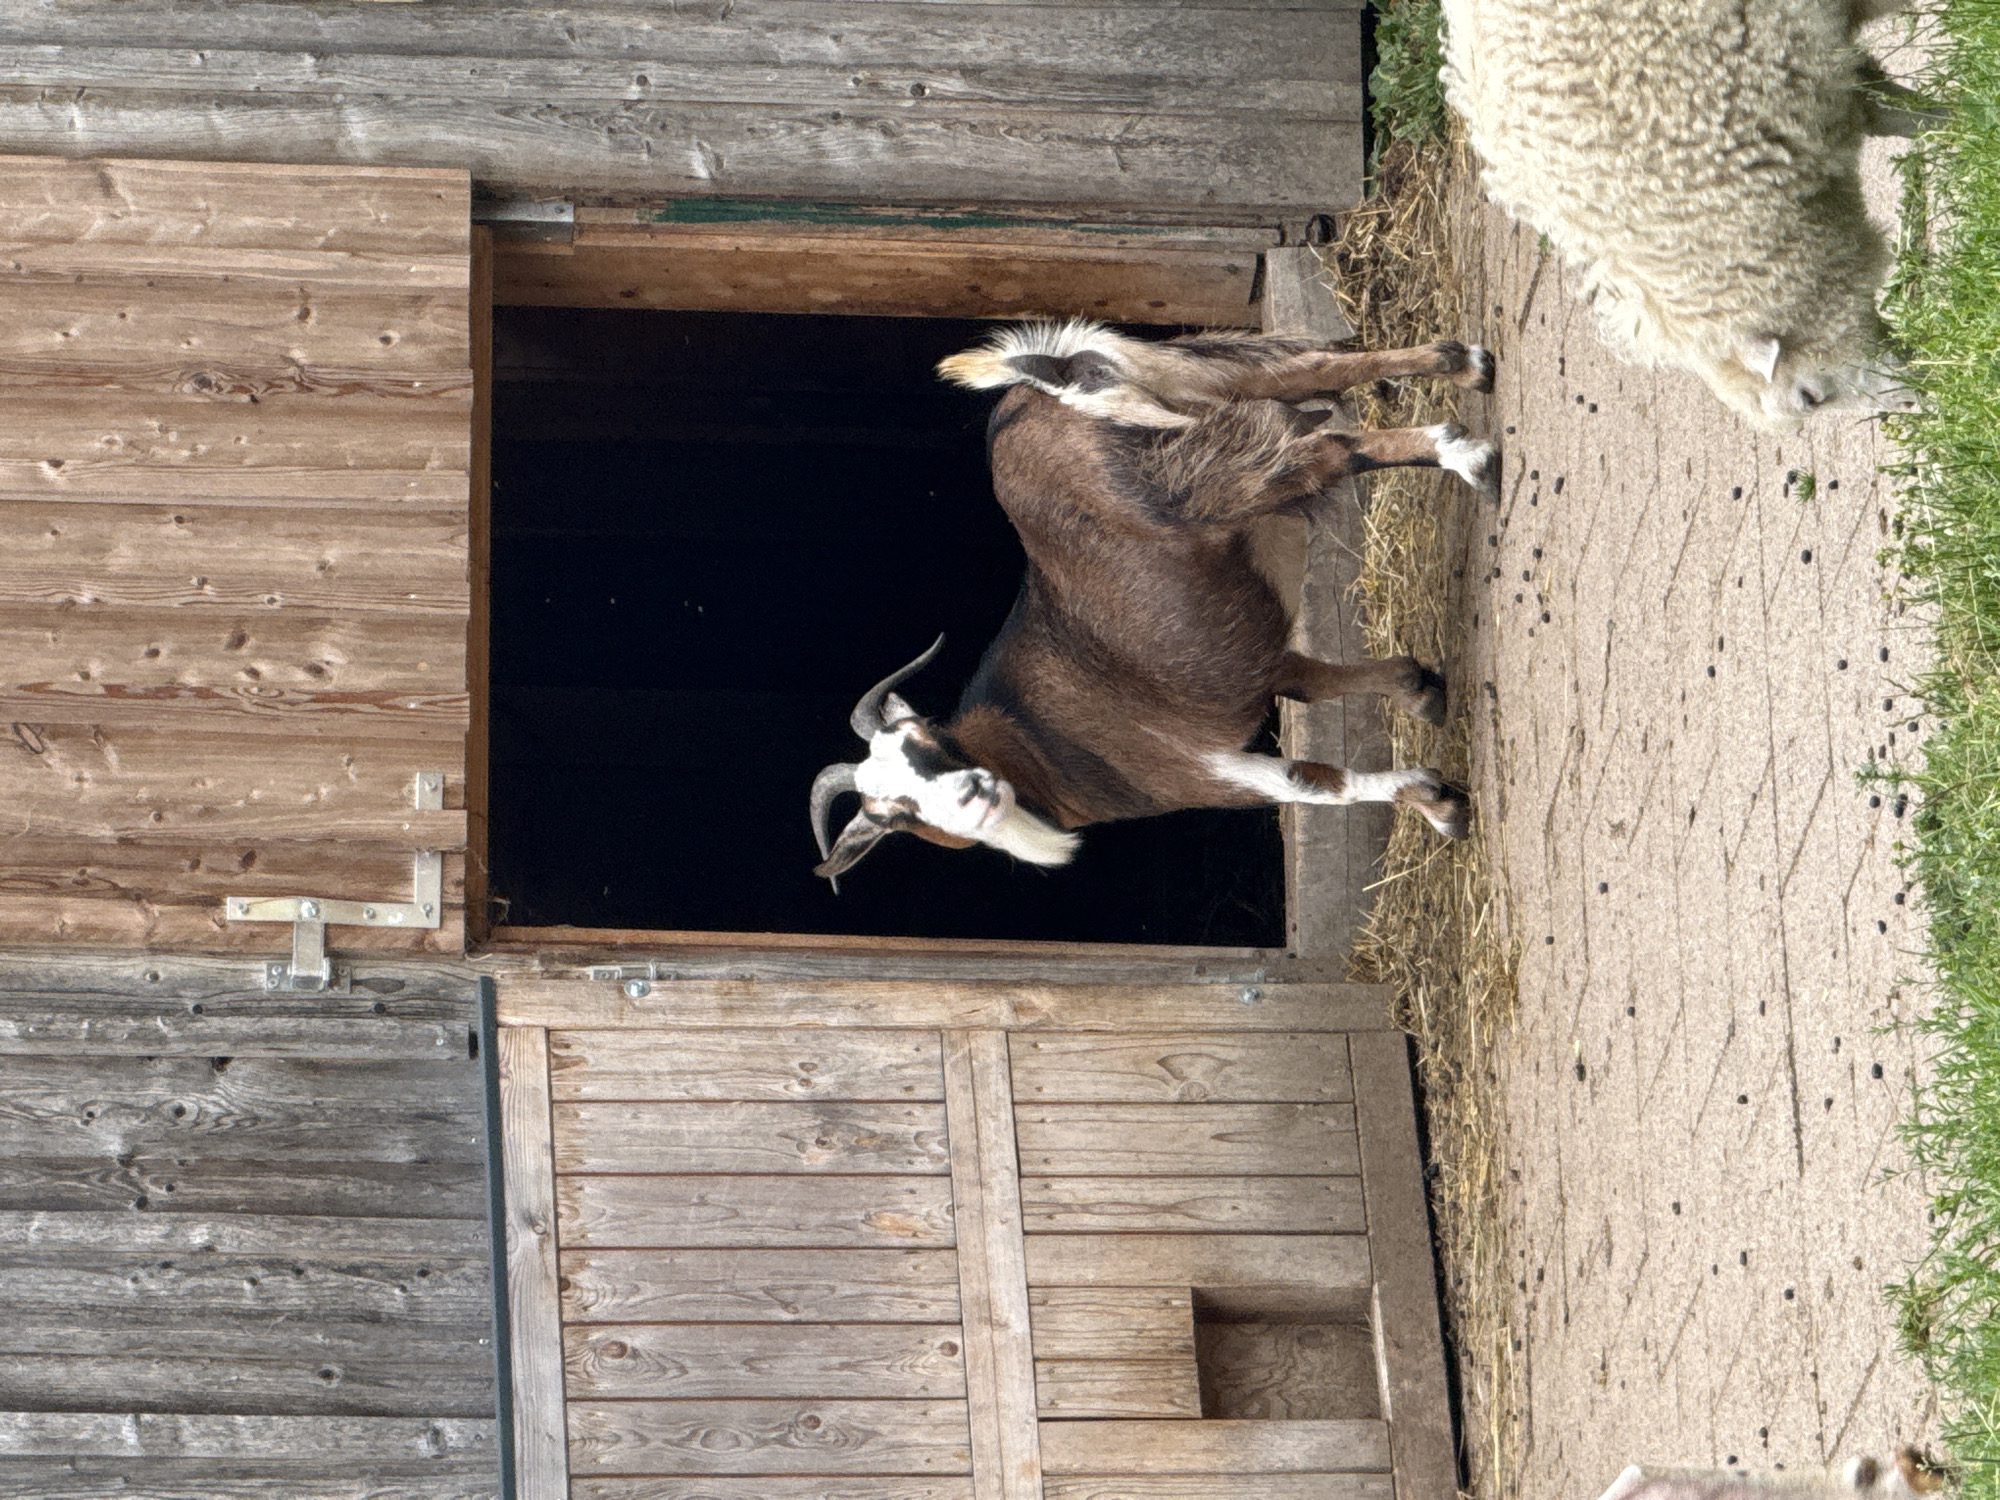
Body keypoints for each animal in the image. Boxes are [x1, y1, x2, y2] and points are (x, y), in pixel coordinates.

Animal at [808, 320, 1498, 885]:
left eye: (925, 740)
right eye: (891, 813)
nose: (974, 789)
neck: (1031, 749)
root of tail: (1052, 378)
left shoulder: (1193, 773)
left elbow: (1318, 786)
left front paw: (1438, 805)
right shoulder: (1259, 668)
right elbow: (1315, 686)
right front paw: (1421, 694)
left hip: (1189, 482)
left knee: (1327, 453)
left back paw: (1469, 455)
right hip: (1197, 379)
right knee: (1315, 370)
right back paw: (1466, 363)